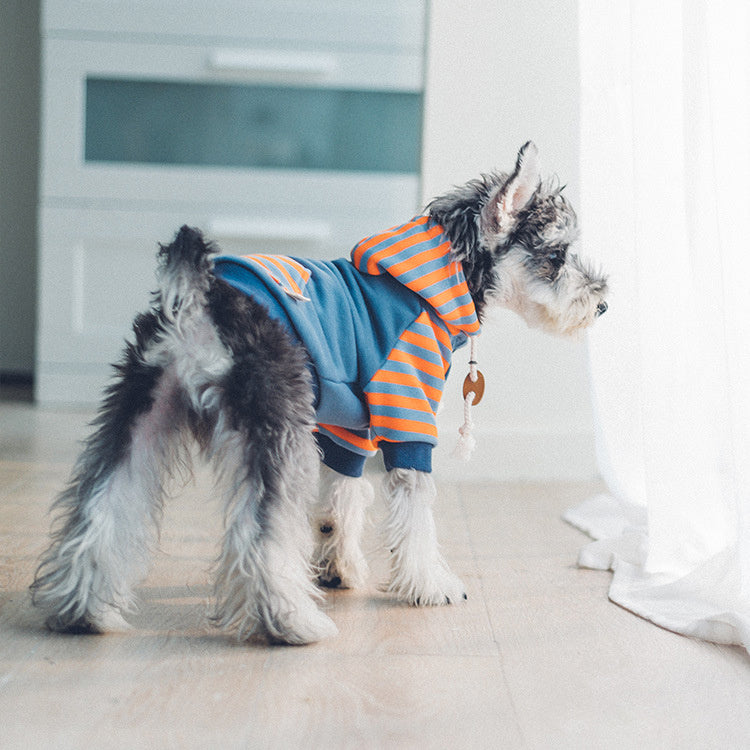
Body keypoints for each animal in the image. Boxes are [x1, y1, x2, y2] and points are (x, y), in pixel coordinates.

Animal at [30, 142, 612, 648]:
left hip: (142, 415)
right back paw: (289, 622)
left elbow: (342, 500)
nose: (602, 304)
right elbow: (416, 513)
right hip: (278, 427)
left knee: (103, 506)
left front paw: (341, 568)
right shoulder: (408, 414)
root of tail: (202, 298)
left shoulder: (352, 429)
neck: (439, 280)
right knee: (257, 537)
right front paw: (431, 584)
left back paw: (82, 609)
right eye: (557, 255)